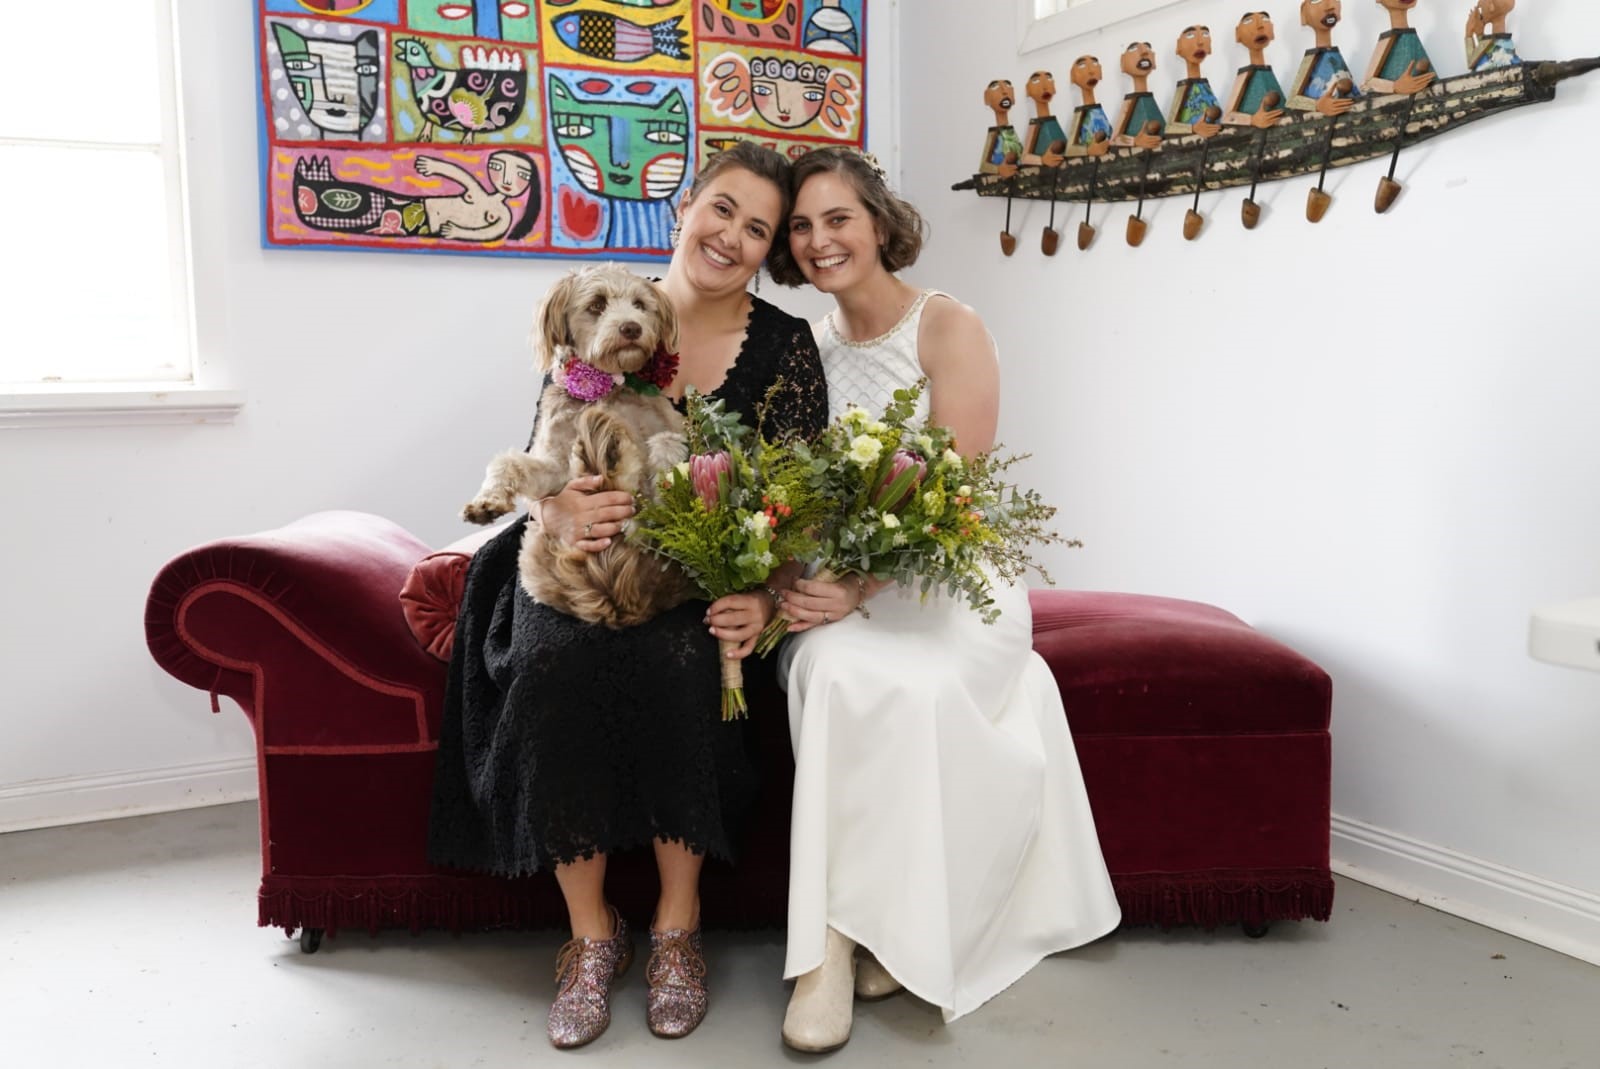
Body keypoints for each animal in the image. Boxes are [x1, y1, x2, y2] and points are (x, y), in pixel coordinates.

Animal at [460, 265, 691, 627]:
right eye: (596, 304)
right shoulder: (555, 469)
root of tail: (617, 600)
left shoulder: (671, 429)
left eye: (640, 304)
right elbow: (509, 462)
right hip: (537, 548)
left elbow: (667, 447)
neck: (606, 388)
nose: (632, 327)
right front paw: (487, 502)